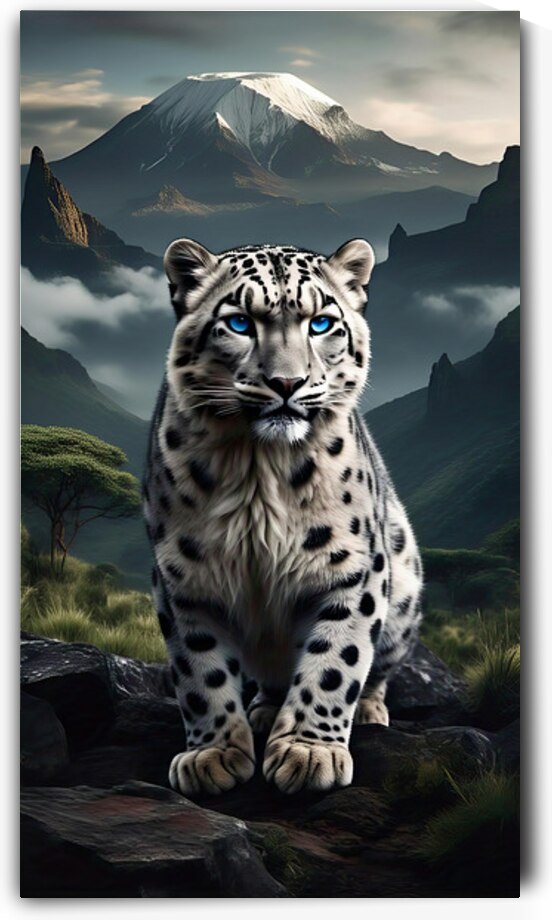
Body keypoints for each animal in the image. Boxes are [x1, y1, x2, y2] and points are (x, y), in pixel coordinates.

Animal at [142, 236, 423, 797]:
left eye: (322, 323)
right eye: (239, 322)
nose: (286, 383)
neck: (258, 469)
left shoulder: (352, 570)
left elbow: (337, 660)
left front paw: (309, 753)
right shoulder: (184, 578)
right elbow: (200, 671)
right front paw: (212, 755)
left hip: (404, 587)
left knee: (378, 667)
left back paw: (367, 712)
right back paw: (265, 710)